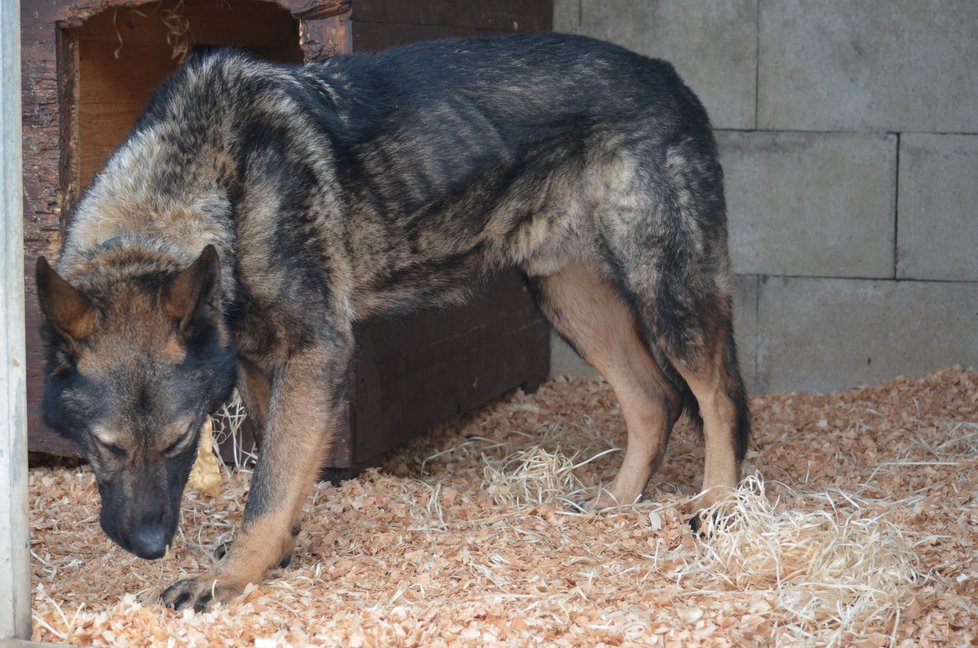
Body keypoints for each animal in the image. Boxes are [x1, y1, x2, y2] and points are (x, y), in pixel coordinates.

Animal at [36, 33, 748, 612]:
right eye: (105, 446)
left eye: (181, 441)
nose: (149, 544)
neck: (206, 176)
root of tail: (668, 75)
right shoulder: (265, 364)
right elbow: (278, 474)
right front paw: (273, 556)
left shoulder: (315, 354)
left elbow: (268, 488)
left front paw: (230, 579)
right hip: (570, 301)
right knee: (654, 400)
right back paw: (619, 503)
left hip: (667, 293)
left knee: (717, 398)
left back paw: (717, 505)